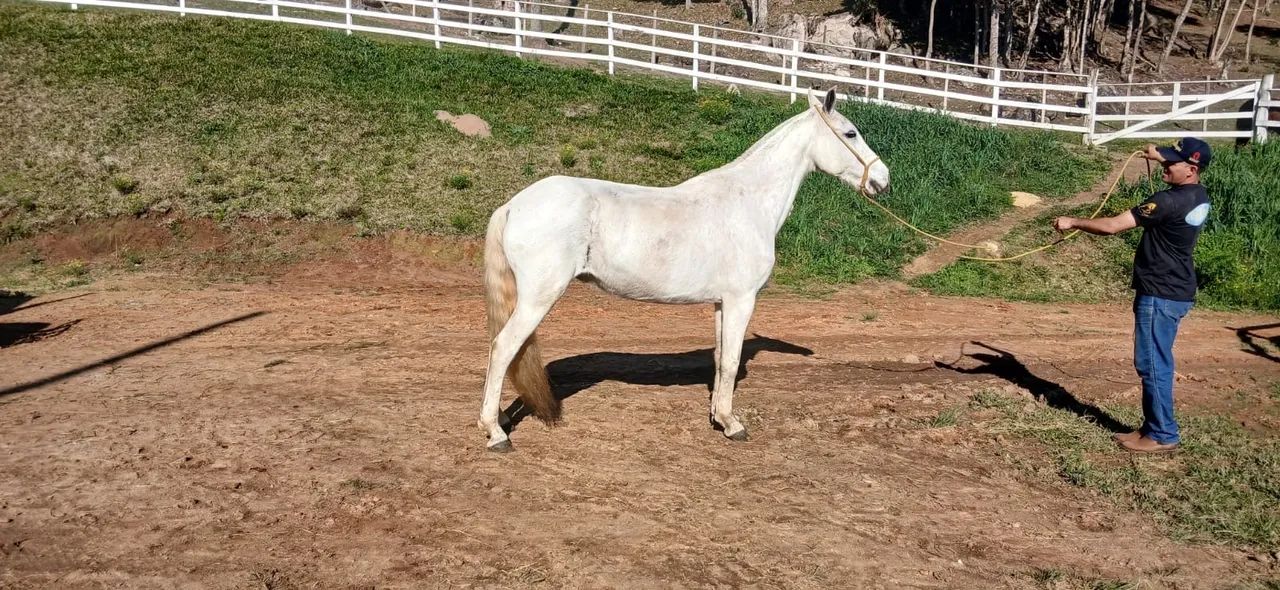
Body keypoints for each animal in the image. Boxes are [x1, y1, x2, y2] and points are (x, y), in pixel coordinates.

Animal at [478, 87, 890, 452]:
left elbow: (721, 360)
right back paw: (495, 433)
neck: (750, 201)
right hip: (539, 297)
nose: (883, 180)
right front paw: (733, 425)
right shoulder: (742, 299)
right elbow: (731, 361)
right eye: (851, 133)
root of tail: (513, 205)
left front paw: (719, 418)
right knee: (503, 348)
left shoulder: (723, 302)